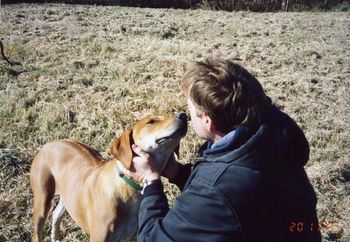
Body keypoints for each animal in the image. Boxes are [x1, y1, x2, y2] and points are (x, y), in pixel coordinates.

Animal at [30, 113, 189, 242]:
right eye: (151, 121)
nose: (183, 115)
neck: (129, 187)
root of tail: (49, 144)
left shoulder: (136, 236)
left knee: (56, 213)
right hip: (42, 200)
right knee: (37, 229)